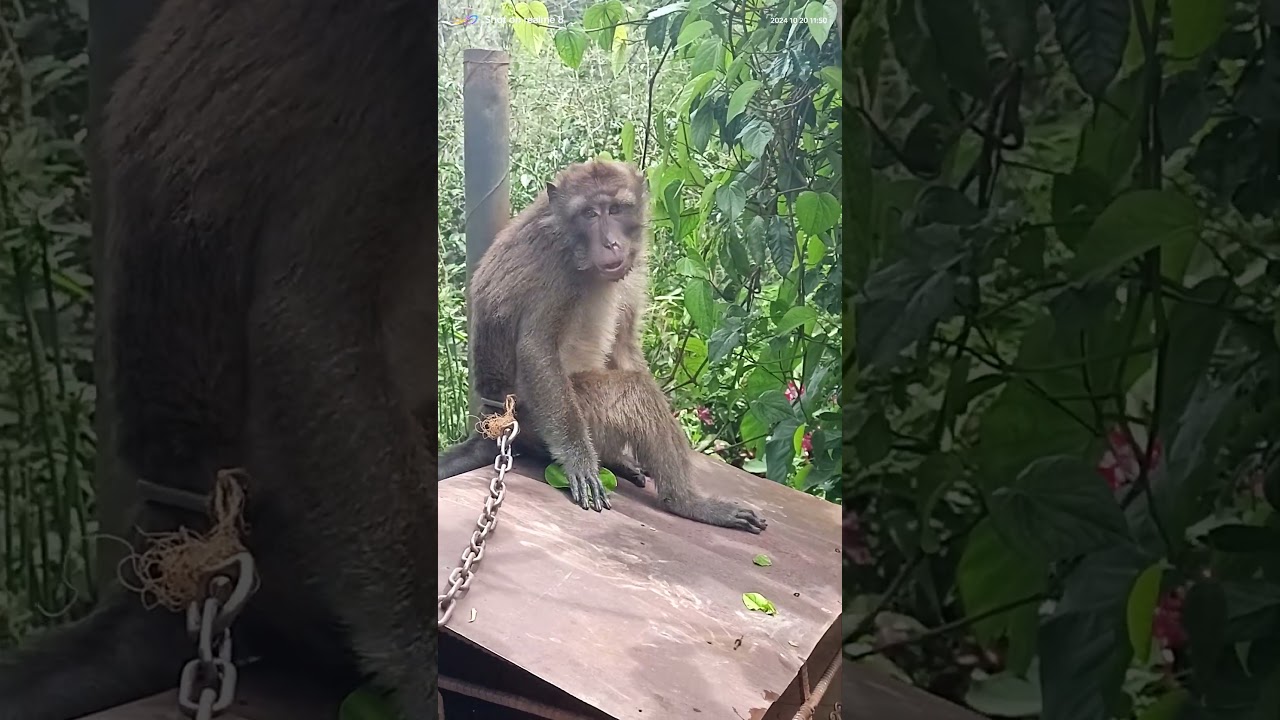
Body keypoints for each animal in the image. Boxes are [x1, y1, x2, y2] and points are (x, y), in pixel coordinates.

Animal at [438, 160, 767, 535]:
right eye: (590, 214)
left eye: (616, 209)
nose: (611, 243)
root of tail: (494, 422)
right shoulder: (556, 268)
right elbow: (537, 348)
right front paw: (580, 460)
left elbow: (623, 344)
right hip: (543, 421)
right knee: (635, 392)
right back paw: (687, 502)